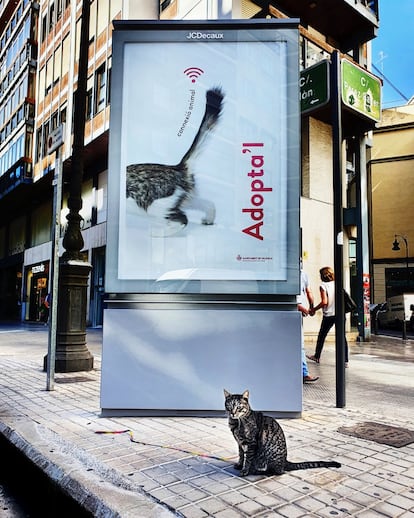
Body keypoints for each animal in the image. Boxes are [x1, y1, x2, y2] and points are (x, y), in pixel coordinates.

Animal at [125, 89, 223, 236]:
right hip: (187, 199)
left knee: (183, 220)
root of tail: (179, 168)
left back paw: (157, 233)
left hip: (156, 205)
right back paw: (208, 221)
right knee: (209, 204)